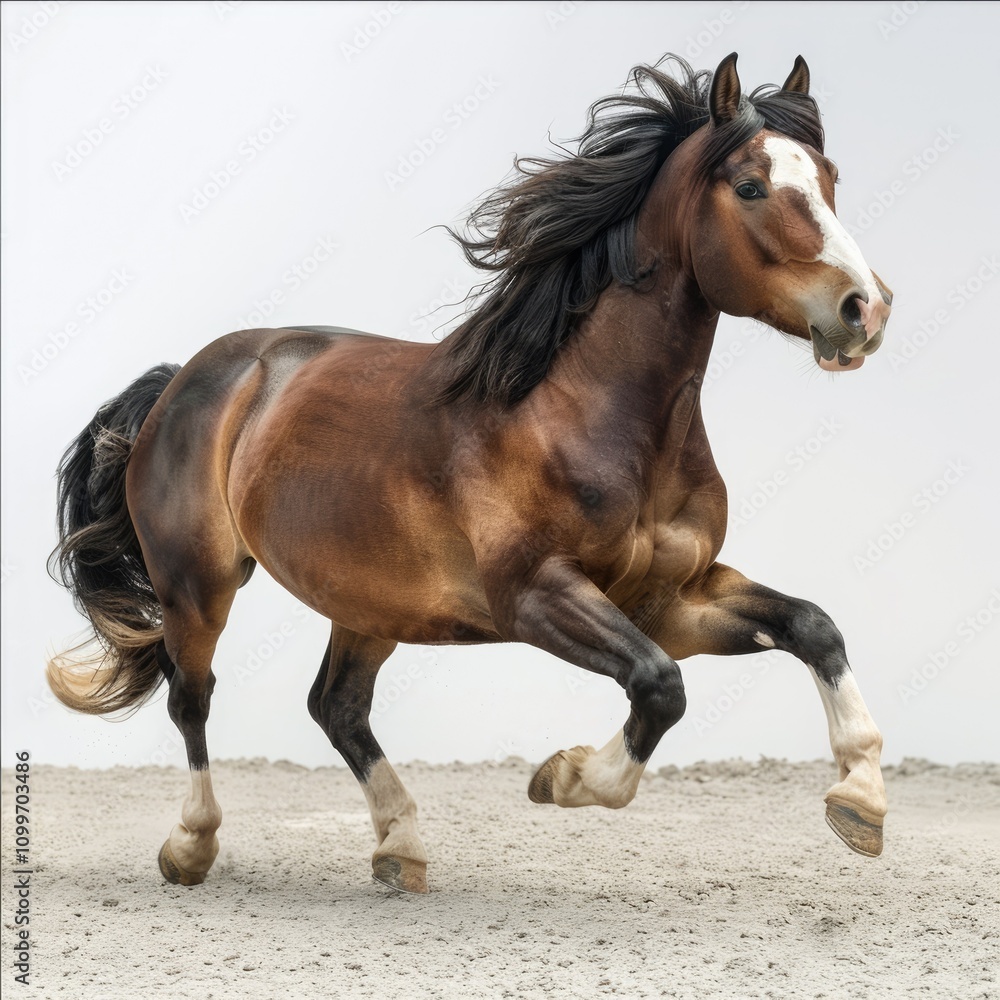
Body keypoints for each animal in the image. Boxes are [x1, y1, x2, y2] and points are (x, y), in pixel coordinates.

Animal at [48, 53, 891, 894]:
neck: (582, 411)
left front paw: (861, 797)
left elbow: (812, 626)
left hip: (369, 600)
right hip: (198, 583)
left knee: (337, 707)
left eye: (829, 177)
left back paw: (401, 845)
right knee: (192, 697)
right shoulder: (535, 596)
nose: (865, 311)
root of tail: (186, 380)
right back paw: (192, 846)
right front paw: (565, 777)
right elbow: (660, 687)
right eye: (750, 186)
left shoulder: (669, 599)